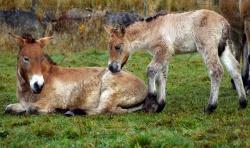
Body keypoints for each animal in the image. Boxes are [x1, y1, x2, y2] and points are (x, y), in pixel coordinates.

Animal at [4, 33, 147, 115]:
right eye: (25, 58)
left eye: (41, 58)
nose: (38, 85)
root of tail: (144, 87)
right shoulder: (23, 103)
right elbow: (9, 108)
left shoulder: (51, 100)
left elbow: (31, 109)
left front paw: (54, 109)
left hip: (109, 91)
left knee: (103, 110)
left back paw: (71, 111)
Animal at [104, 9, 248, 113]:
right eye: (108, 46)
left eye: (117, 47)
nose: (112, 67)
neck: (152, 29)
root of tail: (224, 22)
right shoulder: (165, 54)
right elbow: (161, 76)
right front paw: (160, 105)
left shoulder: (163, 50)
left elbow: (151, 70)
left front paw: (151, 98)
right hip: (222, 48)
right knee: (234, 67)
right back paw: (242, 103)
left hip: (207, 47)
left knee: (216, 71)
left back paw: (210, 107)